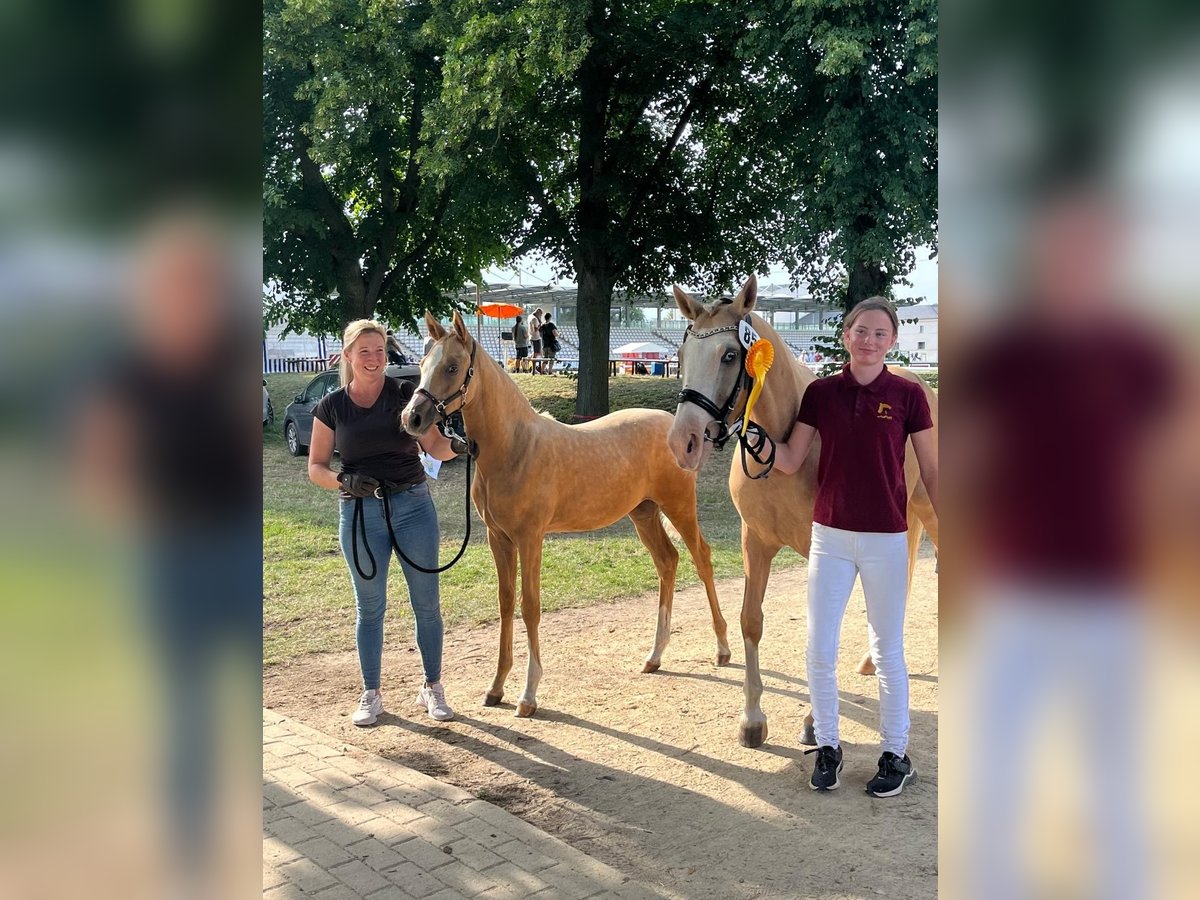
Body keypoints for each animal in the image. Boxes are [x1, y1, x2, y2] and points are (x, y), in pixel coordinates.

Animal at [401, 310, 731, 717]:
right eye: (421, 364)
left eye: (451, 366)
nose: (412, 418)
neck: (514, 447)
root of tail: (677, 429)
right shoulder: (499, 538)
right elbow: (506, 603)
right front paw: (496, 688)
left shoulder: (530, 537)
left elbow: (530, 606)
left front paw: (528, 695)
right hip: (643, 514)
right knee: (667, 562)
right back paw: (654, 656)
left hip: (679, 507)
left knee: (702, 559)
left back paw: (722, 649)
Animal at [666, 275, 939, 747]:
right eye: (681, 357)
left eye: (730, 355)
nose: (683, 442)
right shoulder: (754, 542)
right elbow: (751, 620)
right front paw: (752, 719)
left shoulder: (821, 548)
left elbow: (821, 629)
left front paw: (814, 721)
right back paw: (871, 660)